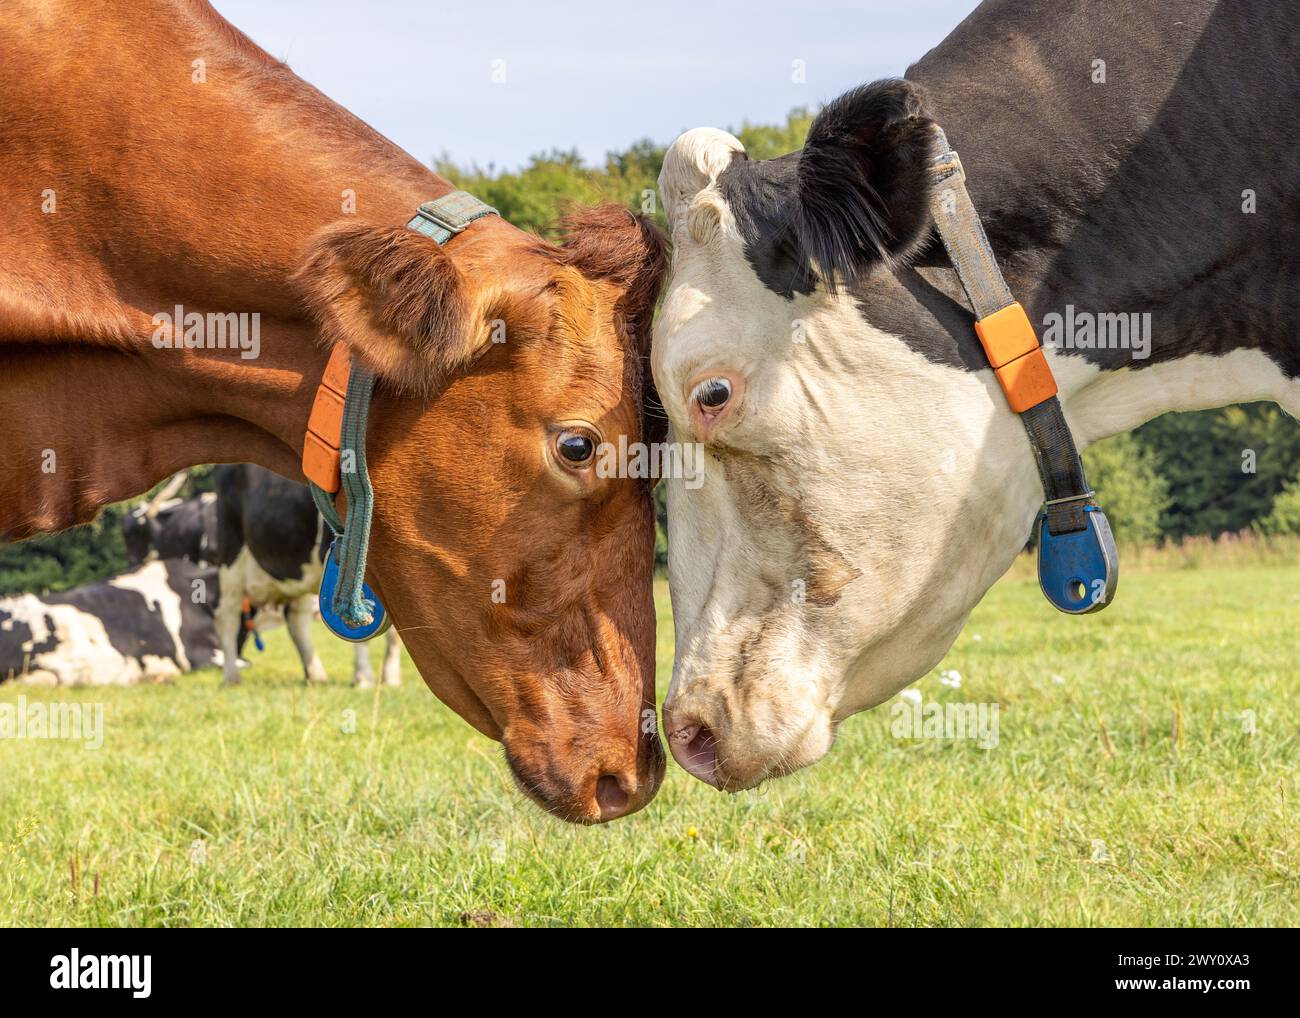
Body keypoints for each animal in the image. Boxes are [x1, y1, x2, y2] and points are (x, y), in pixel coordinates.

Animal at [213, 462, 400, 686]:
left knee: (296, 619)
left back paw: (315, 674)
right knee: (228, 616)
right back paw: (231, 676)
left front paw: (391, 677)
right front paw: (363, 677)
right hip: (230, 557)